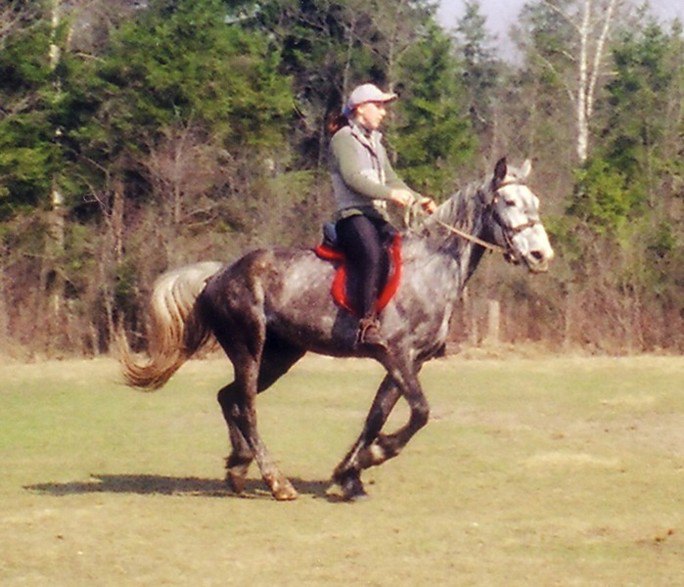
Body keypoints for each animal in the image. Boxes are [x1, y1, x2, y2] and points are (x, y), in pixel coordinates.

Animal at [121, 158, 552, 504]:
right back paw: (276, 482)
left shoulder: (410, 362)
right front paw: (373, 456)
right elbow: (420, 413)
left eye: (534, 203)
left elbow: (377, 416)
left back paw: (238, 468)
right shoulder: (396, 354)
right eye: (509, 203)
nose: (541, 256)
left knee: (228, 399)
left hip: (280, 356)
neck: (431, 265)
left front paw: (350, 474)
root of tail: (218, 274)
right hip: (249, 349)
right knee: (246, 407)